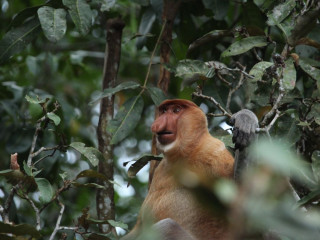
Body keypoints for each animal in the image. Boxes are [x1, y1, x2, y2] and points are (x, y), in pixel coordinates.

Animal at [122, 99, 258, 240]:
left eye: (176, 110)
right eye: (164, 111)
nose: (156, 125)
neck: (186, 152)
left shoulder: (213, 153)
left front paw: (245, 119)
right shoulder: (160, 170)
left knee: (168, 227)